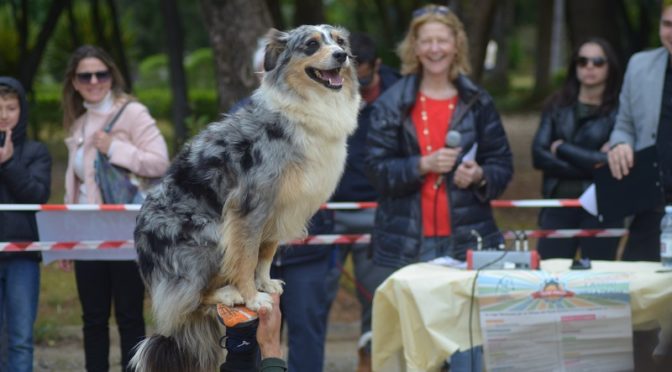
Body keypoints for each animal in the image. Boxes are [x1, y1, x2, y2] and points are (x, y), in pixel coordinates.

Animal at [132, 24, 362, 370]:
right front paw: (253, 297)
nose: (342, 56)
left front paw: (265, 284)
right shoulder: (249, 206)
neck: (306, 106)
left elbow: (265, 254)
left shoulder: (279, 208)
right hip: (209, 237)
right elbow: (246, 256)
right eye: (311, 45)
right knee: (187, 301)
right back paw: (227, 295)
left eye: (339, 41)